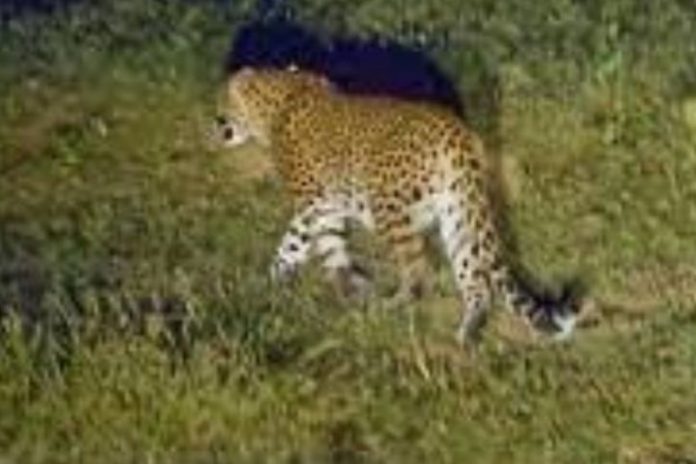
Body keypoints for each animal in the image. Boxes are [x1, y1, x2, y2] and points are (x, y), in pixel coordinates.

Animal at [214, 66, 578, 343]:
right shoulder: (328, 208)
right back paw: (466, 333)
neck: (282, 96)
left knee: (419, 270)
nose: (216, 124)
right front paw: (346, 286)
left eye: (222, 108)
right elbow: (328, 249)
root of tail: (454, 129)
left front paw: (268, 285)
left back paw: (394, 307)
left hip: (388, 207)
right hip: (458, 212)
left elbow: (292, 244)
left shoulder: (312, 204)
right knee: (476, 279)